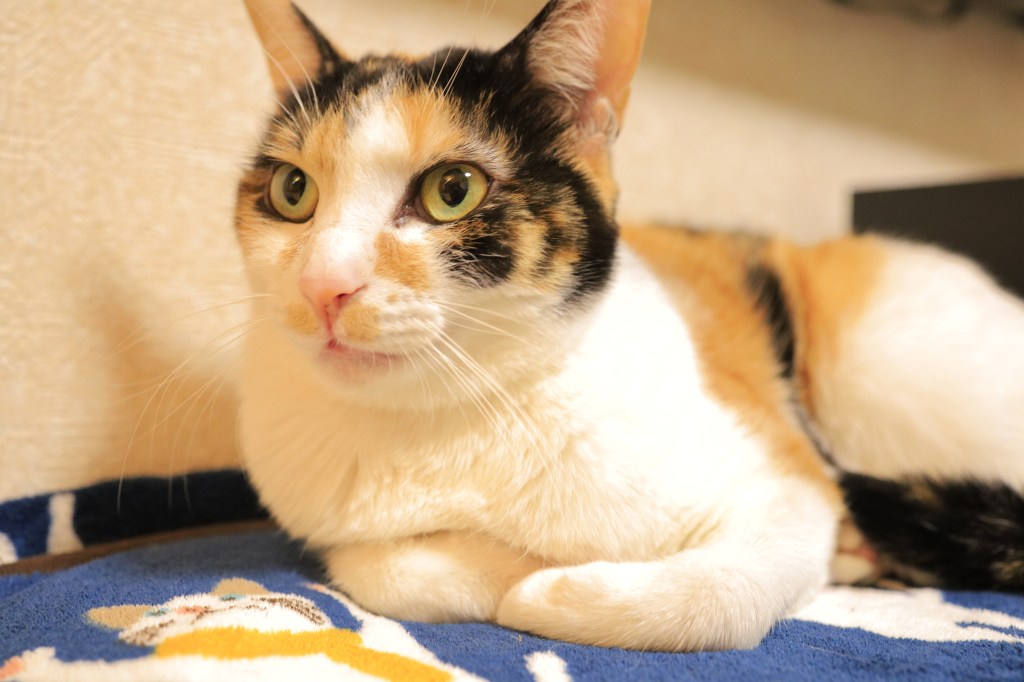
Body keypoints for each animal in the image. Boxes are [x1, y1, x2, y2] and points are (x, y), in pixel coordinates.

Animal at [234, 0, 1024, 652]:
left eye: (451, 191)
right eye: (292, 190)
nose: (323, 285)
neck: (448, 421)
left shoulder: (789, 482)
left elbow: (723, 594)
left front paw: (550, 590)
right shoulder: (331, 526)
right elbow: (389, 572)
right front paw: (508, 568)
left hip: (887, 370)